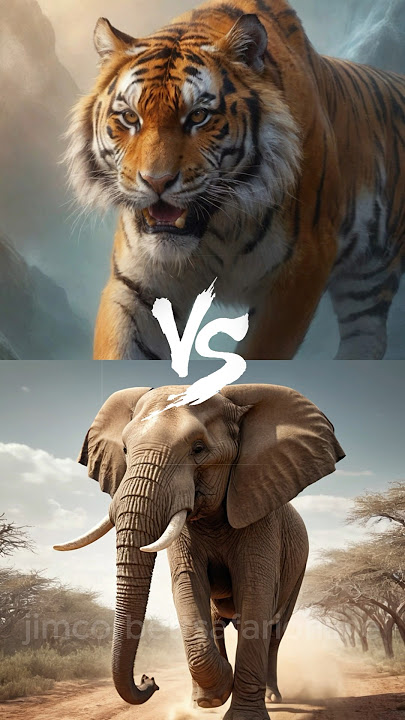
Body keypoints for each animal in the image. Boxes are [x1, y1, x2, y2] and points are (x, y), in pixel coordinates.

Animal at [54, 384, 344, 720]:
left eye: (198, 449)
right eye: (125, 450)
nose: (149, 679)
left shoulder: (261, 512)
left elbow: (255, 591)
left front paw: (240, 712)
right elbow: (188, 585)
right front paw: (214, 696)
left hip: (299, 569)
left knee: (274, 631)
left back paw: (272, 696)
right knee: (218, 621)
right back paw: (206, 698)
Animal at [66, 0, 405, 360]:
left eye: (198, 116)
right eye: (130, 117)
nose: (157, 182)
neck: (217, 230)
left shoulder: (300, 272)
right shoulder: (137, 283)